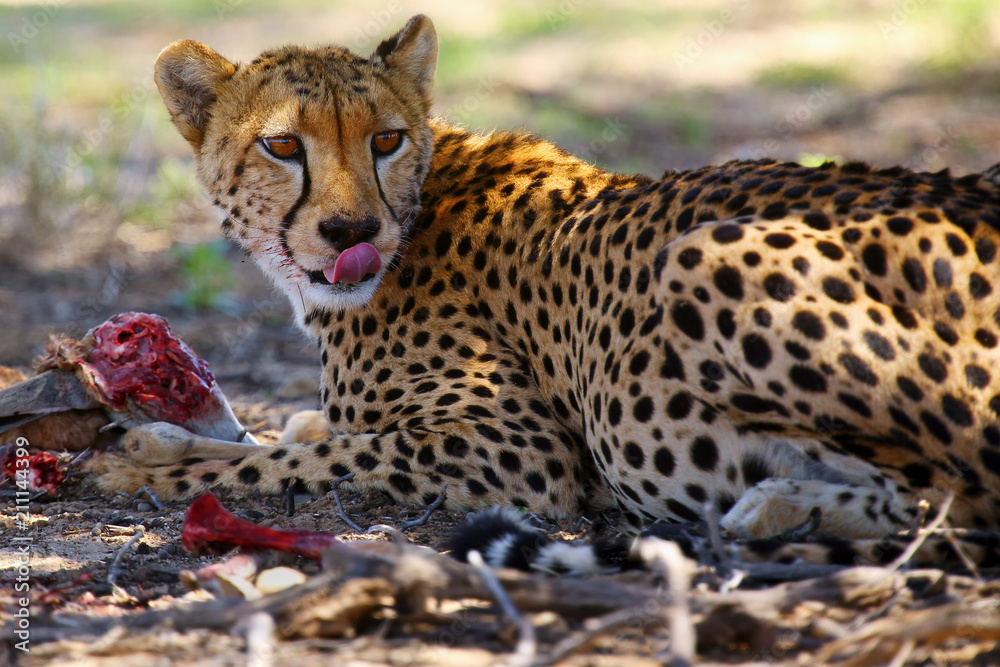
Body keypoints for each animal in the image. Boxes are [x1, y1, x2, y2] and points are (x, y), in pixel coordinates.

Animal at [93, 15, 1000, 558]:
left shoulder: (520, 449)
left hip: (705, 256)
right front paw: (162, 439)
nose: (352, 232)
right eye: (283, 146)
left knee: (951, 500)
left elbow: (314, 456)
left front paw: (144, 474)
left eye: (385, 139)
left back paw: (771, 507)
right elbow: (299, 434)